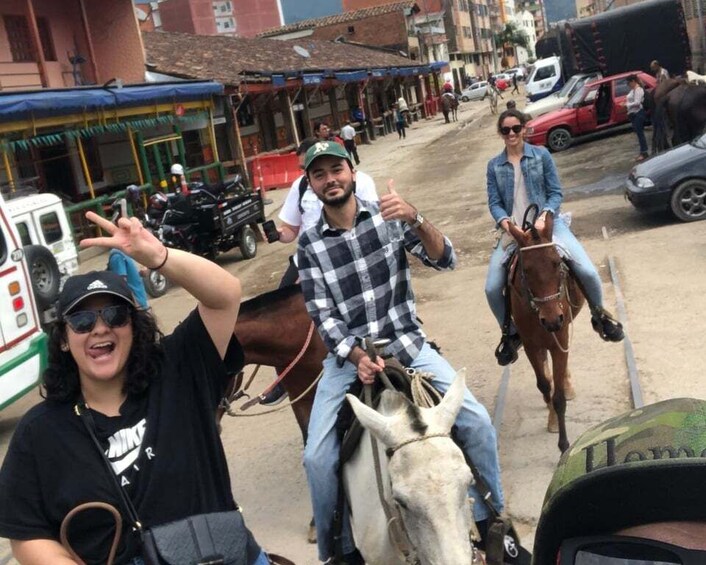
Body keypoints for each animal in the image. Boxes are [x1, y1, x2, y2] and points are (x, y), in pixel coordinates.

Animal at [506, 209, 584, 452]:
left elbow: (558, 397)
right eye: (526, 269)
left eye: (556, 263)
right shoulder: (531, 345)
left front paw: (564, 445)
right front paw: (552, 420)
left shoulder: (560, 339)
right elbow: (543, 385)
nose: (551, 320)